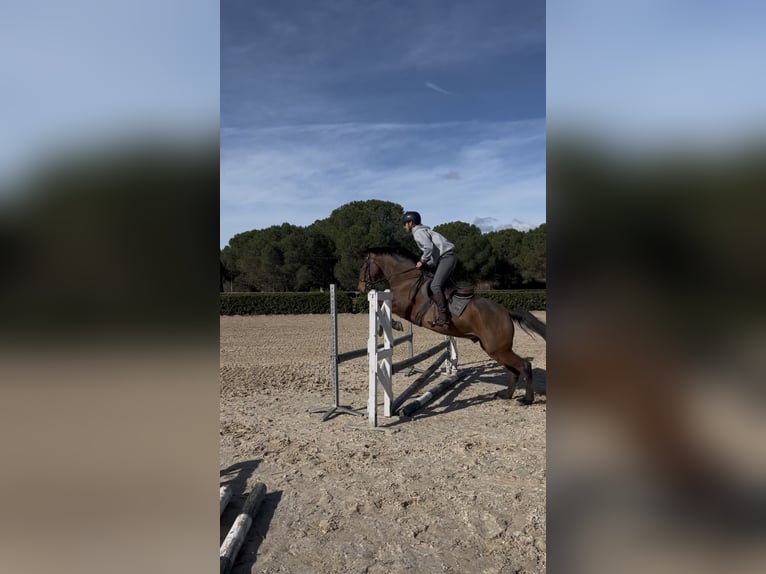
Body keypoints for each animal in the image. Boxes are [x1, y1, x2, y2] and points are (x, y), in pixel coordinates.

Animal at [358, 247, 546, 404]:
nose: (359, 288)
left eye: (363, 266)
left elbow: (380, 301)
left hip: (498, 349)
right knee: (514, 371)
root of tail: (506, 312)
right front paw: (383, 328)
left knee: (524, 366)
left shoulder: (401, 305)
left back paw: (527, 399)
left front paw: (392, 325)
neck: (404, 277)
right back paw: (506, 395)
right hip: (495, 350)